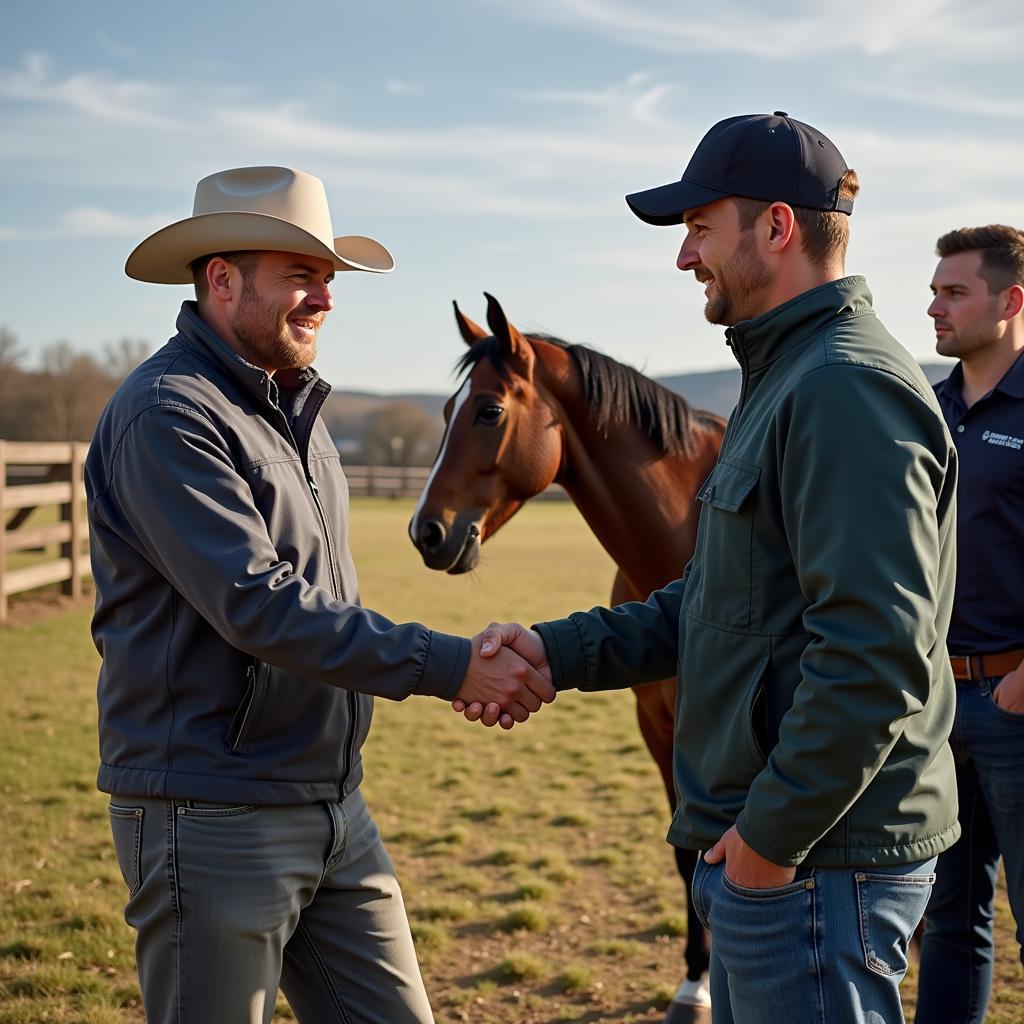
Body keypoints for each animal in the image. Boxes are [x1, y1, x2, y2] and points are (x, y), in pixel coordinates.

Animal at [409, 294, 729, 1015]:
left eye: (488, 411)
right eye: (444, 414)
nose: (426, 532)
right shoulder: (658, 726)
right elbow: (689, 858)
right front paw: (696, 980)